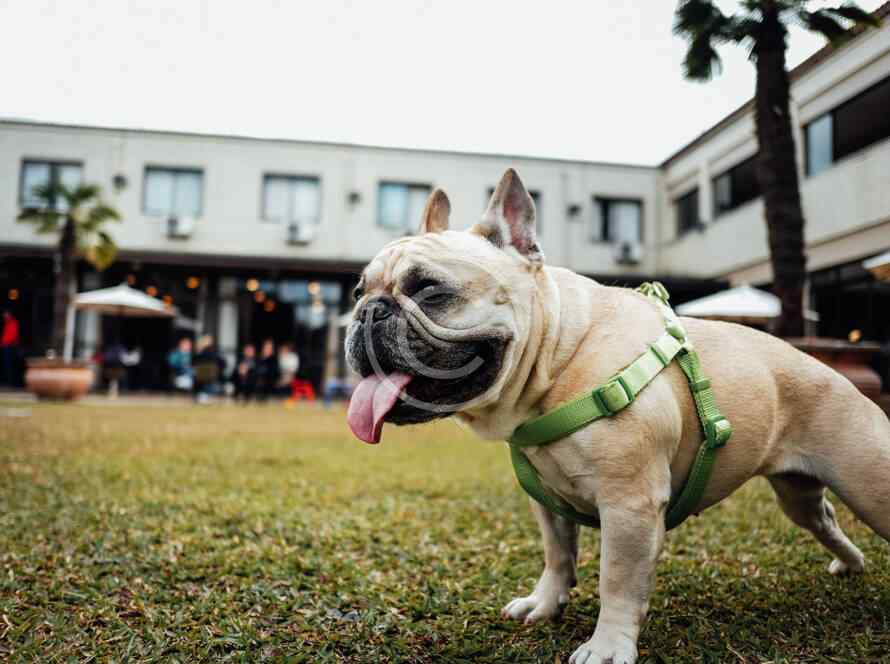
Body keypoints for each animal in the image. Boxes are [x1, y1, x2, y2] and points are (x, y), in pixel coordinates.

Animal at [345, 168, 890, 664]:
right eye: (357, 292)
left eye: (430, 291)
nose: (368, 312)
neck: (560, 359)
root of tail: (826, 367)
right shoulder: (547, 502)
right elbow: (557, 555)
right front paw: (545, 604)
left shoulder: (629, 504)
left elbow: (618, 580)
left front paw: (608, 646)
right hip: (797, 493)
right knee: (823, 517)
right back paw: (850, 564)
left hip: (870, 483)